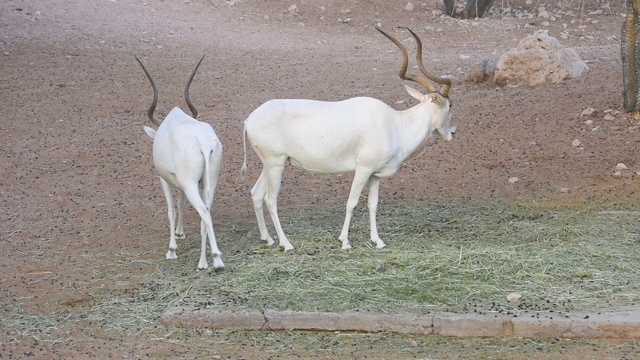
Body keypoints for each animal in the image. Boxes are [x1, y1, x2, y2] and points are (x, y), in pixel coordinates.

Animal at [136, 55, 224, 270]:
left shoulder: (164, 179)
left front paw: (172, 250)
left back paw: (213, 261)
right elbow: (181, 203)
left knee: (203, 211)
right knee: (206, 212)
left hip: (192, 184)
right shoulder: (183, 184)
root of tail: (202, 141)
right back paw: (207, 261)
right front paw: (180, 233)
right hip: (208, 183)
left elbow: (171, 209)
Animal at [240, 27, 456, 250]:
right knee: (270, 199)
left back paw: (268, 239)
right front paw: (344, 241)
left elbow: (372, 204)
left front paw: (377, 241)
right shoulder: (363, 169)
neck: (396, 124)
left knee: (256, 193)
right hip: (275, 164)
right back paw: (286, 244)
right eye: (450, 105)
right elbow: (352, 203)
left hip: (271, 164)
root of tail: (249, 120)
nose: (453, 132)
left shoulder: (375, 175)